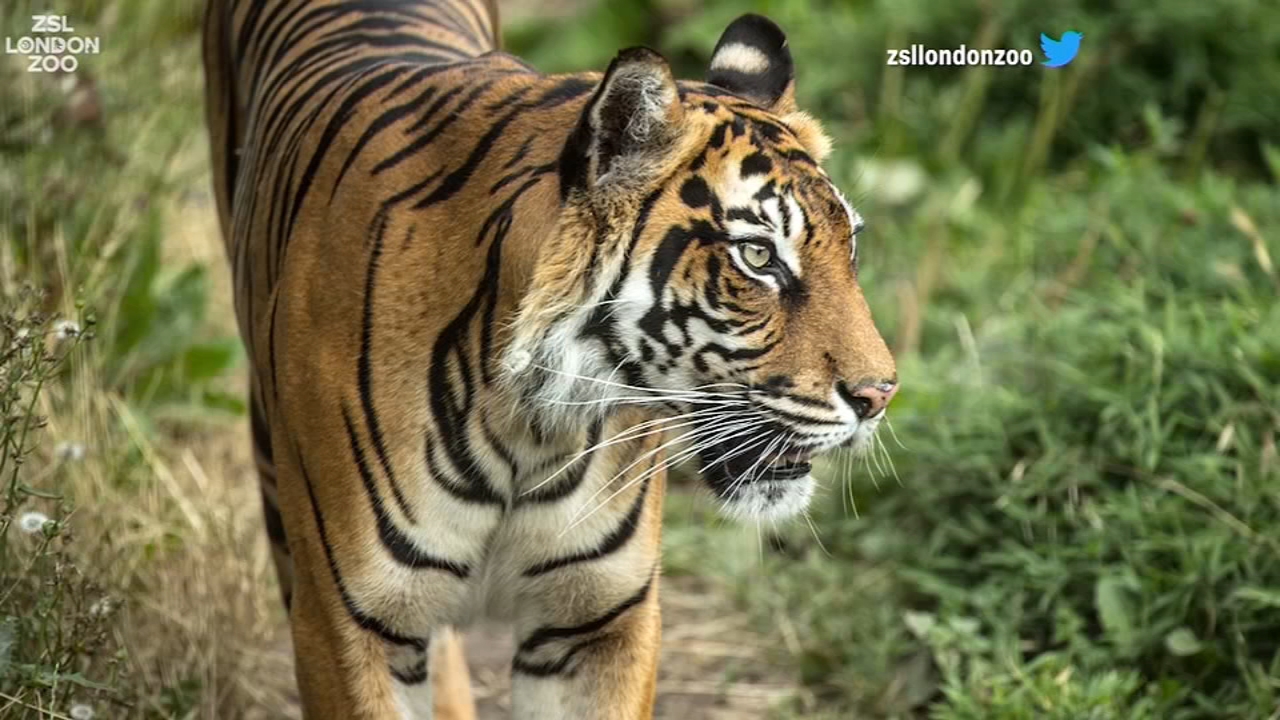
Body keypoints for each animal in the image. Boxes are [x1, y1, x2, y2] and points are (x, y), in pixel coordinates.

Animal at [201, 1, 898, 718]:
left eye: (850, 248)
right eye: (757, 256)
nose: (879, 395)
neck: (528, 425)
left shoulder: (598, 621)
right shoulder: (346, 623)